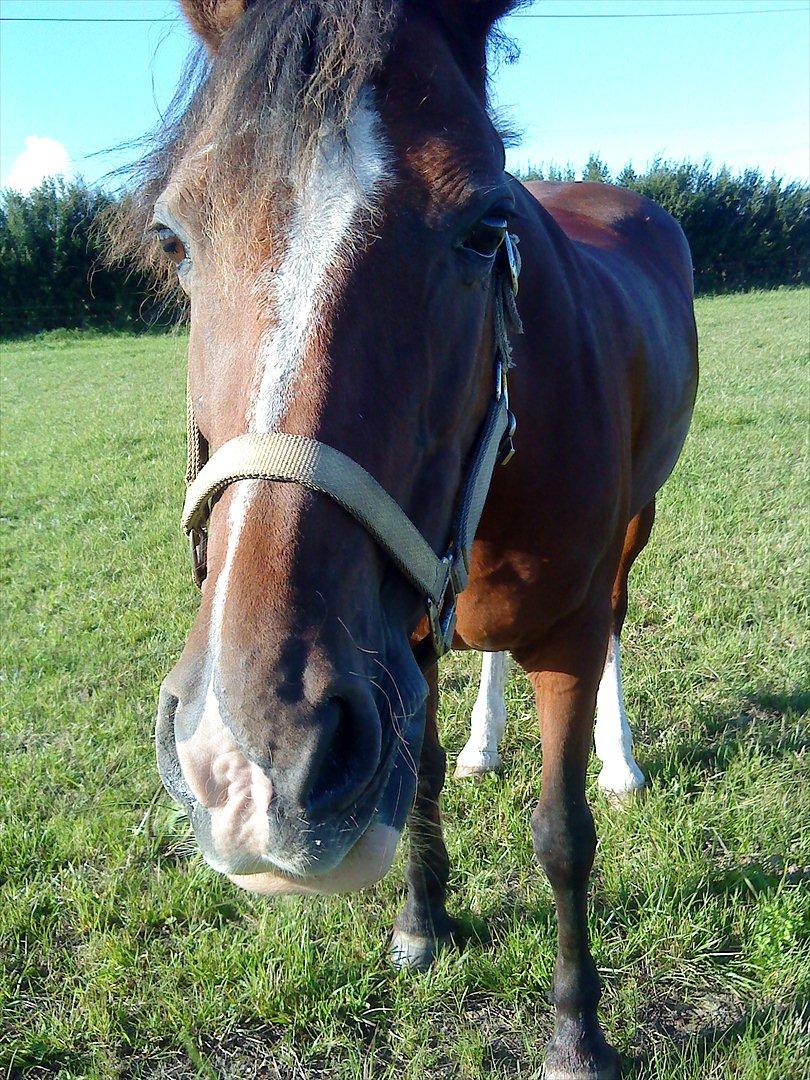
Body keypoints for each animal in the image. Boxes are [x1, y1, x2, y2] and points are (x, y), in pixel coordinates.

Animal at [123, 4, 699, 1075]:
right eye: (174, 240)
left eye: (485, 230)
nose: (248, 758)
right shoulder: (407, 638)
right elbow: (421, 774)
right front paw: (423, 922)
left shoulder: (563, 634)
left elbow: (563, 834)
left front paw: (578, 1030)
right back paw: (484, 743)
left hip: (635, 530)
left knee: (619, 621)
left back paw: (621, 759)